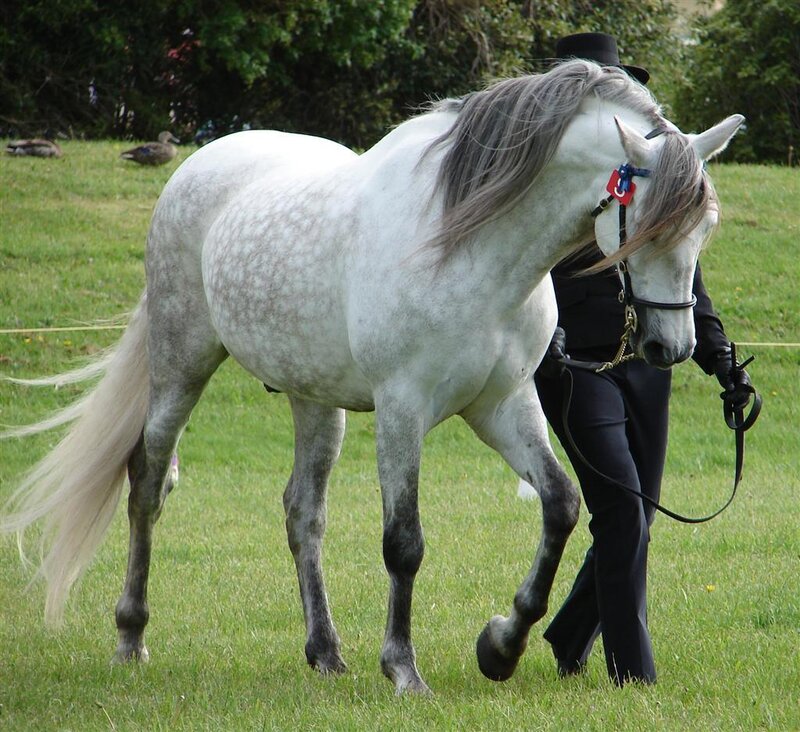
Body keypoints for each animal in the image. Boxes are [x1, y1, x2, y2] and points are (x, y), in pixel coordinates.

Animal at [1, 60, 742, 694]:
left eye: (705, 228)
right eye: (647, 227)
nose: (669, 346)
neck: (467, 245)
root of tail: (199, 164)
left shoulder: (501, 404)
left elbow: (560, 506)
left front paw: (500, 647)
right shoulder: (402, 409)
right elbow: (404, 542)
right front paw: (404, 668)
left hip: (312, 400)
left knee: (303, 513)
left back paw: (325, 651)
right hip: (182, 366)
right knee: (148, 484)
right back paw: (132, 636)